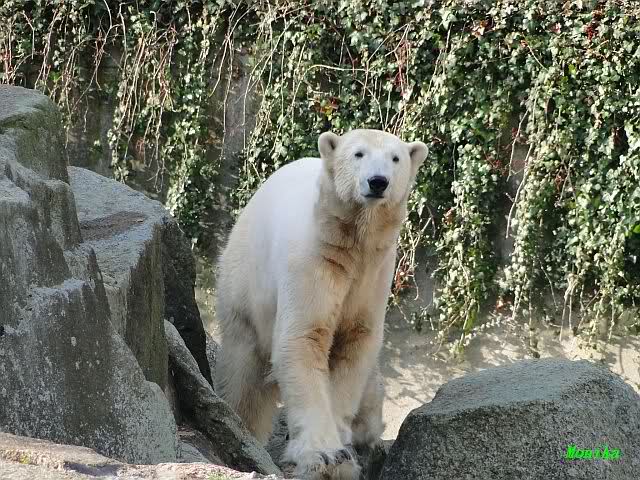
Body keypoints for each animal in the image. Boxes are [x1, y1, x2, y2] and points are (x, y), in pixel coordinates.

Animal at [214, 129, 428, 479]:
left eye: (395, 158)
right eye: (358, 154)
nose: (378, 181)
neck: (352, 244)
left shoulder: (375, 275)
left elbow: (355, 344)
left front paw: (343, 444)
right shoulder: (314, 260)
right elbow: (303, 338)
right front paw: (324, 453)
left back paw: (367, 431)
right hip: (245, 284)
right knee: (245, 370)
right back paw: (241, 424)